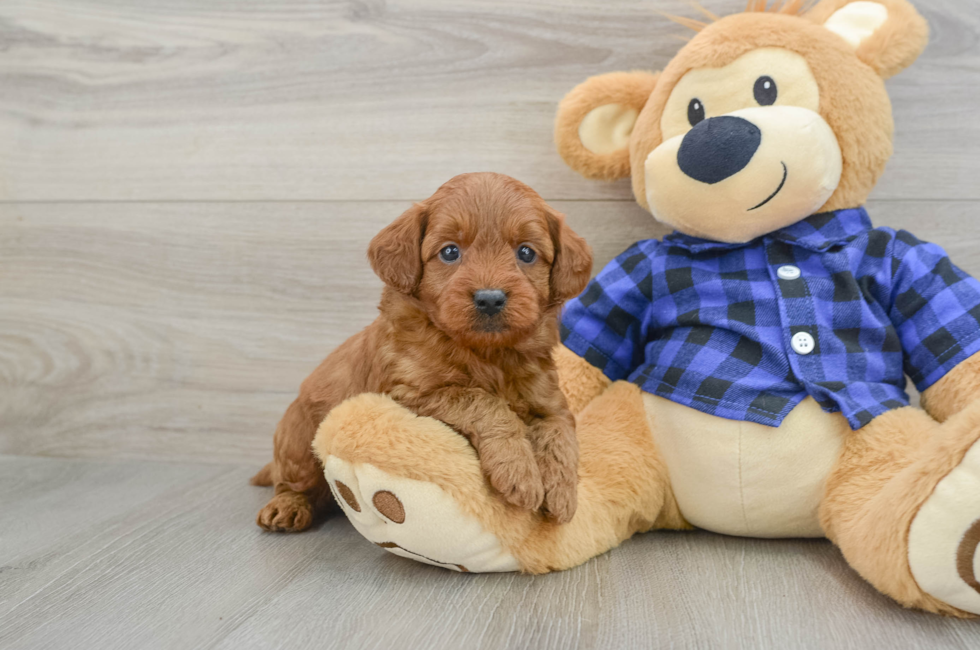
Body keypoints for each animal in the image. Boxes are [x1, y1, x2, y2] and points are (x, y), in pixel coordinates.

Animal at [253, 171, 588, 528]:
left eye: (526, 253)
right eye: (450, 252)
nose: (490, 298)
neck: (487, 353)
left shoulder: (551, 402)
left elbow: (560, 435)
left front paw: (563, 493)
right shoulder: (411, 394)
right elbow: (484, 402)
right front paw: (519, 472)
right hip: (299, 441)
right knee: (294, 483)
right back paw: (287, 506)